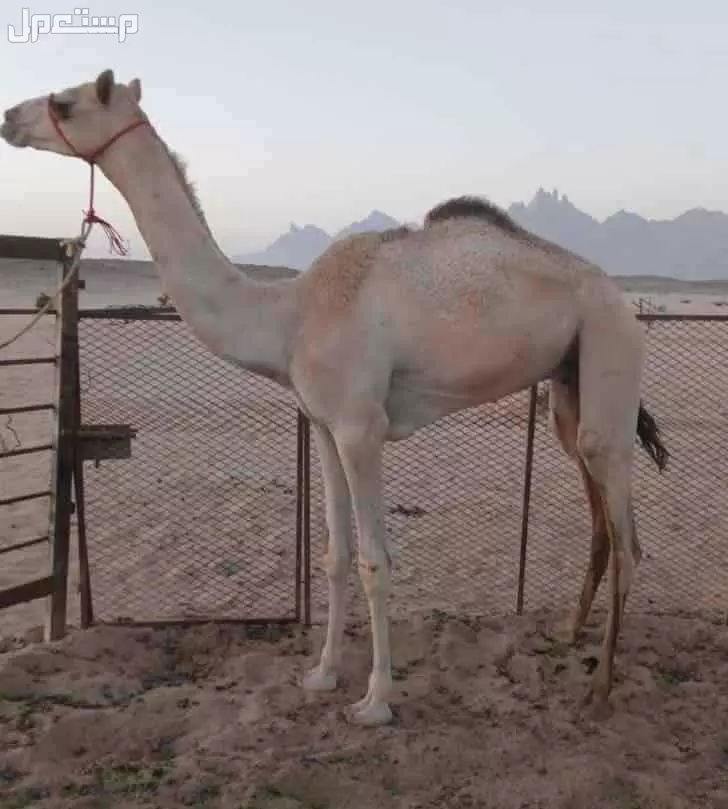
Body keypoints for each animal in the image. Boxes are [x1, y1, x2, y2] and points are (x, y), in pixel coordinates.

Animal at [1, 69, 669, 726]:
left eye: (67, 100)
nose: (10, 117)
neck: (289, 316)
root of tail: (618, 297)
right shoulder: (322, 425)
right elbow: (334, 555)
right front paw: (321, 674)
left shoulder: (359, 427)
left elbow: (375, 562)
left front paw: (376, 700)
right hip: (568, 384)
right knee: (600, 519)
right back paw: (569, 634)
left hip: (610, 343)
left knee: (631, 541)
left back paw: (600, 689)